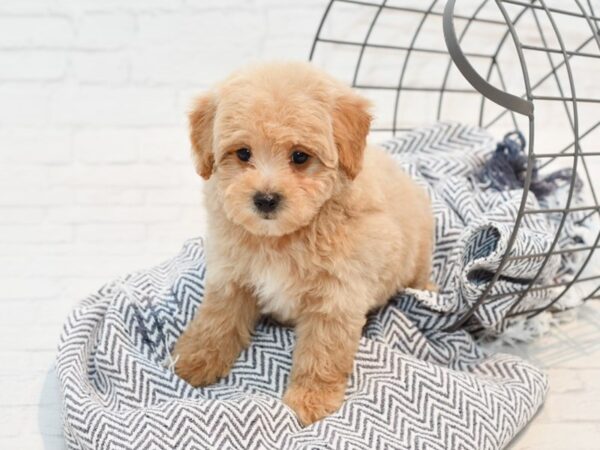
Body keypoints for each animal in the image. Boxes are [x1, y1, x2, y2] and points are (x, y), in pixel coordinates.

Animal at [175, 60, 436, 426]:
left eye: (300, 157)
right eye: (243, 153)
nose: (265, 199)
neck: (282, 238)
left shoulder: (336, 297)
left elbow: (322, 352)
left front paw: (311, 399)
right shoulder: (230, 274)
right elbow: (216, 319)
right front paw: (196, 359)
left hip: (418, 257)